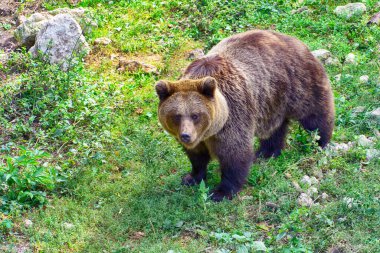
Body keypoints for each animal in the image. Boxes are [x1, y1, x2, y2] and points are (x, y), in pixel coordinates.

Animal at [154, 29, 332, 202]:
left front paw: (221, 192)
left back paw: (320, 141)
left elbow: (234, 154)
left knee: (314, 114)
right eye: (176, 116)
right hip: (271, 100)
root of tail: (295, 40)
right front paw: (191, 177)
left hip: (297, 82)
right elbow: (197, 156)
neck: (210, 131)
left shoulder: (233, 115)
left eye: (196, 115)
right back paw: (267, 152)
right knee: (274, 128)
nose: (186, 135)